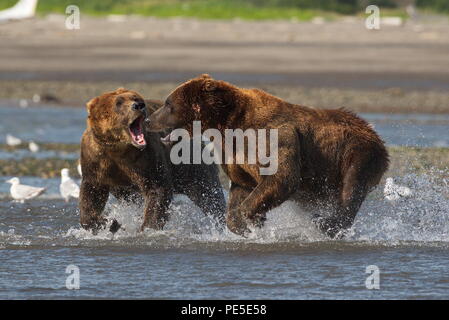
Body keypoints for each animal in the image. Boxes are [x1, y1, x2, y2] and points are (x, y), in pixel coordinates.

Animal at [78, 87, 226, 232]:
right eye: (118, 103)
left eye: (135, 98)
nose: (138, 106)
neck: (118, 149)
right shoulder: (96, 161)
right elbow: (92, 194)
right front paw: (109, 223)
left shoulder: (145, 158)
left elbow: (157, 189)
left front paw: (147, 227)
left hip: (190, 163)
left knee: (209, 197)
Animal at [146, 74, 388, 238]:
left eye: (168, 104)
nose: (148, 120)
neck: (226, 126)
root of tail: (372, 131)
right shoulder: (236, 156)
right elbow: (241, 187)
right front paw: (243, 226)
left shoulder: (274, 137)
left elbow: (281, 177)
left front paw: (253, 220)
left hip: (357, 153)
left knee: (351, 188)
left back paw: (326, 224)